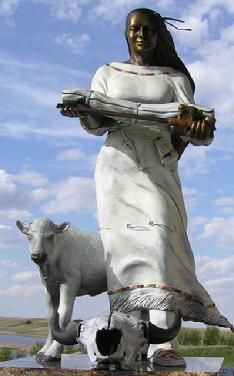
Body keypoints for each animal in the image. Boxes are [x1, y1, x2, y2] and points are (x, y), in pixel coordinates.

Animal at [16, 219, 107, 362]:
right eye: (29, 235)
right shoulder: (49, 289)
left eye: (50, 236)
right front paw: (43, 350)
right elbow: (51, 316)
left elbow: (63, 314)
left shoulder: (69, 283)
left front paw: (53, 352)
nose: (38, 256)